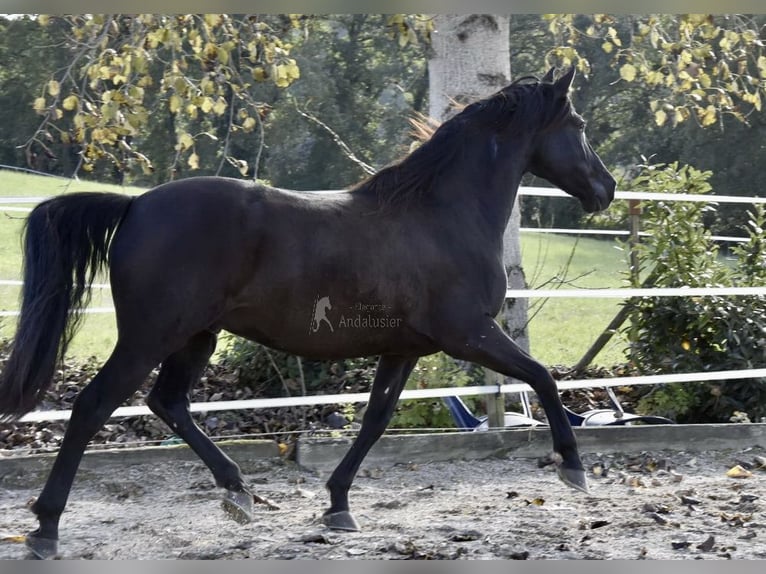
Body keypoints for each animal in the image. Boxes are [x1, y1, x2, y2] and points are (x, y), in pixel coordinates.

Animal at [0, 66, 616, 560]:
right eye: (581, 124)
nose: (606, 189)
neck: (443, 215)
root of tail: (134, 206)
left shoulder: (403, 349)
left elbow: (374, 422)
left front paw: (338, 505)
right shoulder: (468, 334)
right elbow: (542, 377)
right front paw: (573, 467)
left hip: (196, 336)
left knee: (167, 402)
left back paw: (239, 492)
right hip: (150, 336)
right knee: (93, 406)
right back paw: (45, 530)